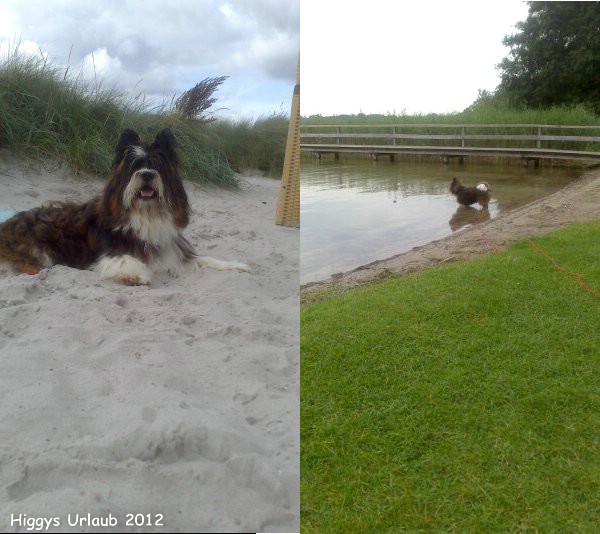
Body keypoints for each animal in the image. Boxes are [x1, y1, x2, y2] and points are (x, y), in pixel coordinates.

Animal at [0, 128, 248, 286]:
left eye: (157, 166)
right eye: (134, 166)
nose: (146, 174)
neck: (146, 213)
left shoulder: (172, 251)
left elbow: (203, 259)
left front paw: (237, 265)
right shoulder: (103, 254)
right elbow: (125, 260)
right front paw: (136, 275)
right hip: (41, 252)